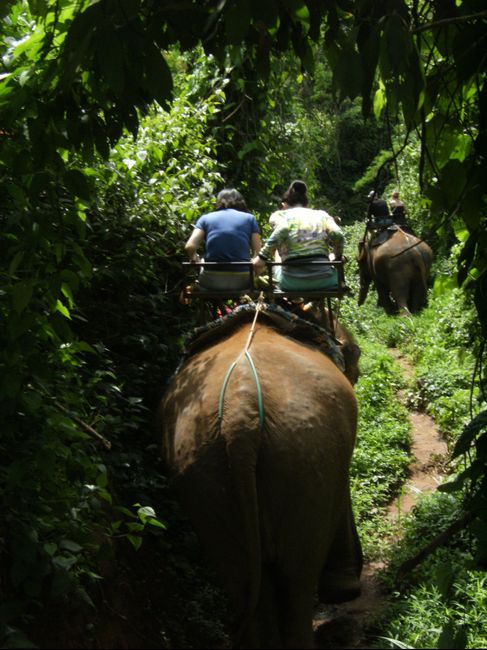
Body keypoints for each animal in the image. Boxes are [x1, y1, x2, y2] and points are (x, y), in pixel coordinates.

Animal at [159, 306, 362, 649]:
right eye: (354, 354)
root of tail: (239, 419)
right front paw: (345, 589)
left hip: (201, 475)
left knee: (243, 584)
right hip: (305, 460)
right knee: (297, 580)